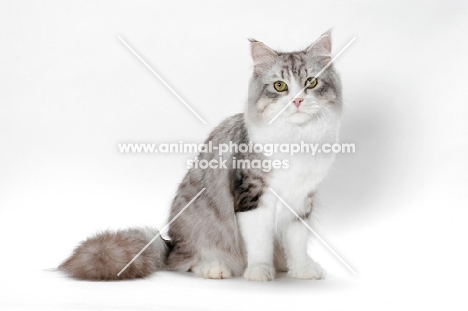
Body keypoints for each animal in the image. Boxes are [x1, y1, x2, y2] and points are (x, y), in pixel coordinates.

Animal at [60, 30, 342, 282]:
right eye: (280, 86)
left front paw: (302, 269)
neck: (297, 139)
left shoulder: (301, 201)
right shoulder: (251, 197)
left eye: (311, 82)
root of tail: (170, 244)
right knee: (185, 261)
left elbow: (297, 242)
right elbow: (260, 243)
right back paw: (214, 268)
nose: (297, 101)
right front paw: (259, 272)